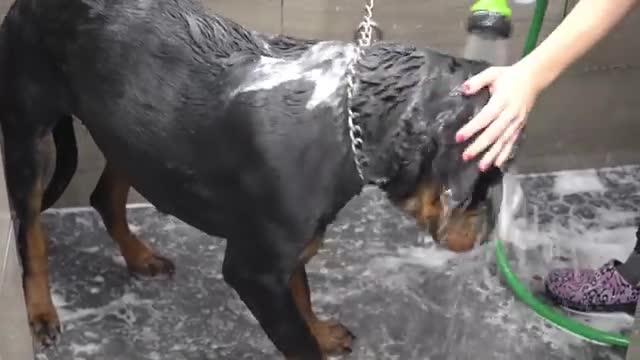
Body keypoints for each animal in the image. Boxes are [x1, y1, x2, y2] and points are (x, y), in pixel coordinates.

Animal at [0, 0, 504, 356]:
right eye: (481, 183)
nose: (489, 231)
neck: (346, 117)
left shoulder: (295, 245)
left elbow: (303, 295)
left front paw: (322, 331)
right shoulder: (254, 270)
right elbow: (296, 340)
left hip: (128, 132)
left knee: (106, 196)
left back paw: (140, 257)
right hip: (28, 135)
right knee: (31, 232)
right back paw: (40, 312)